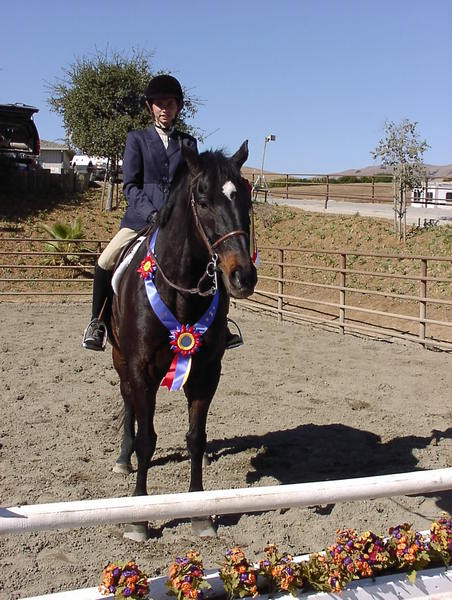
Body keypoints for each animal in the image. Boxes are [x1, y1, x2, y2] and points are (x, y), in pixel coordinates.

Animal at [108, 140, 257, 541]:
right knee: (127, 403)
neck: (178, 288)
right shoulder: (140, 368)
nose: (243, 277)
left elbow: (195, 437)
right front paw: (138, 518)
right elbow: (147, 439)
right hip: (119, 357)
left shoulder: (207, 370)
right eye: (202, 200)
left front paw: (199, 513)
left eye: (246, 200)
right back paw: (122, 459)